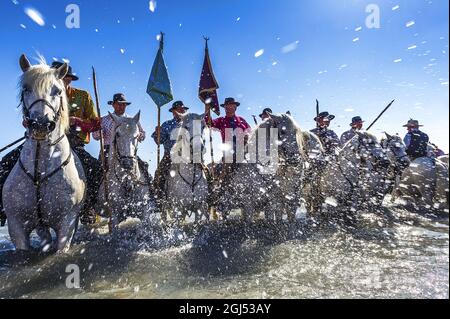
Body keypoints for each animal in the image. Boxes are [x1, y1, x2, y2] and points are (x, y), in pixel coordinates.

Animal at [2, 56, 85, 254]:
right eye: (26, 88)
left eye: (57, 91)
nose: (40, 125)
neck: (40, 171)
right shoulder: (16, 226)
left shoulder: (67, 224)